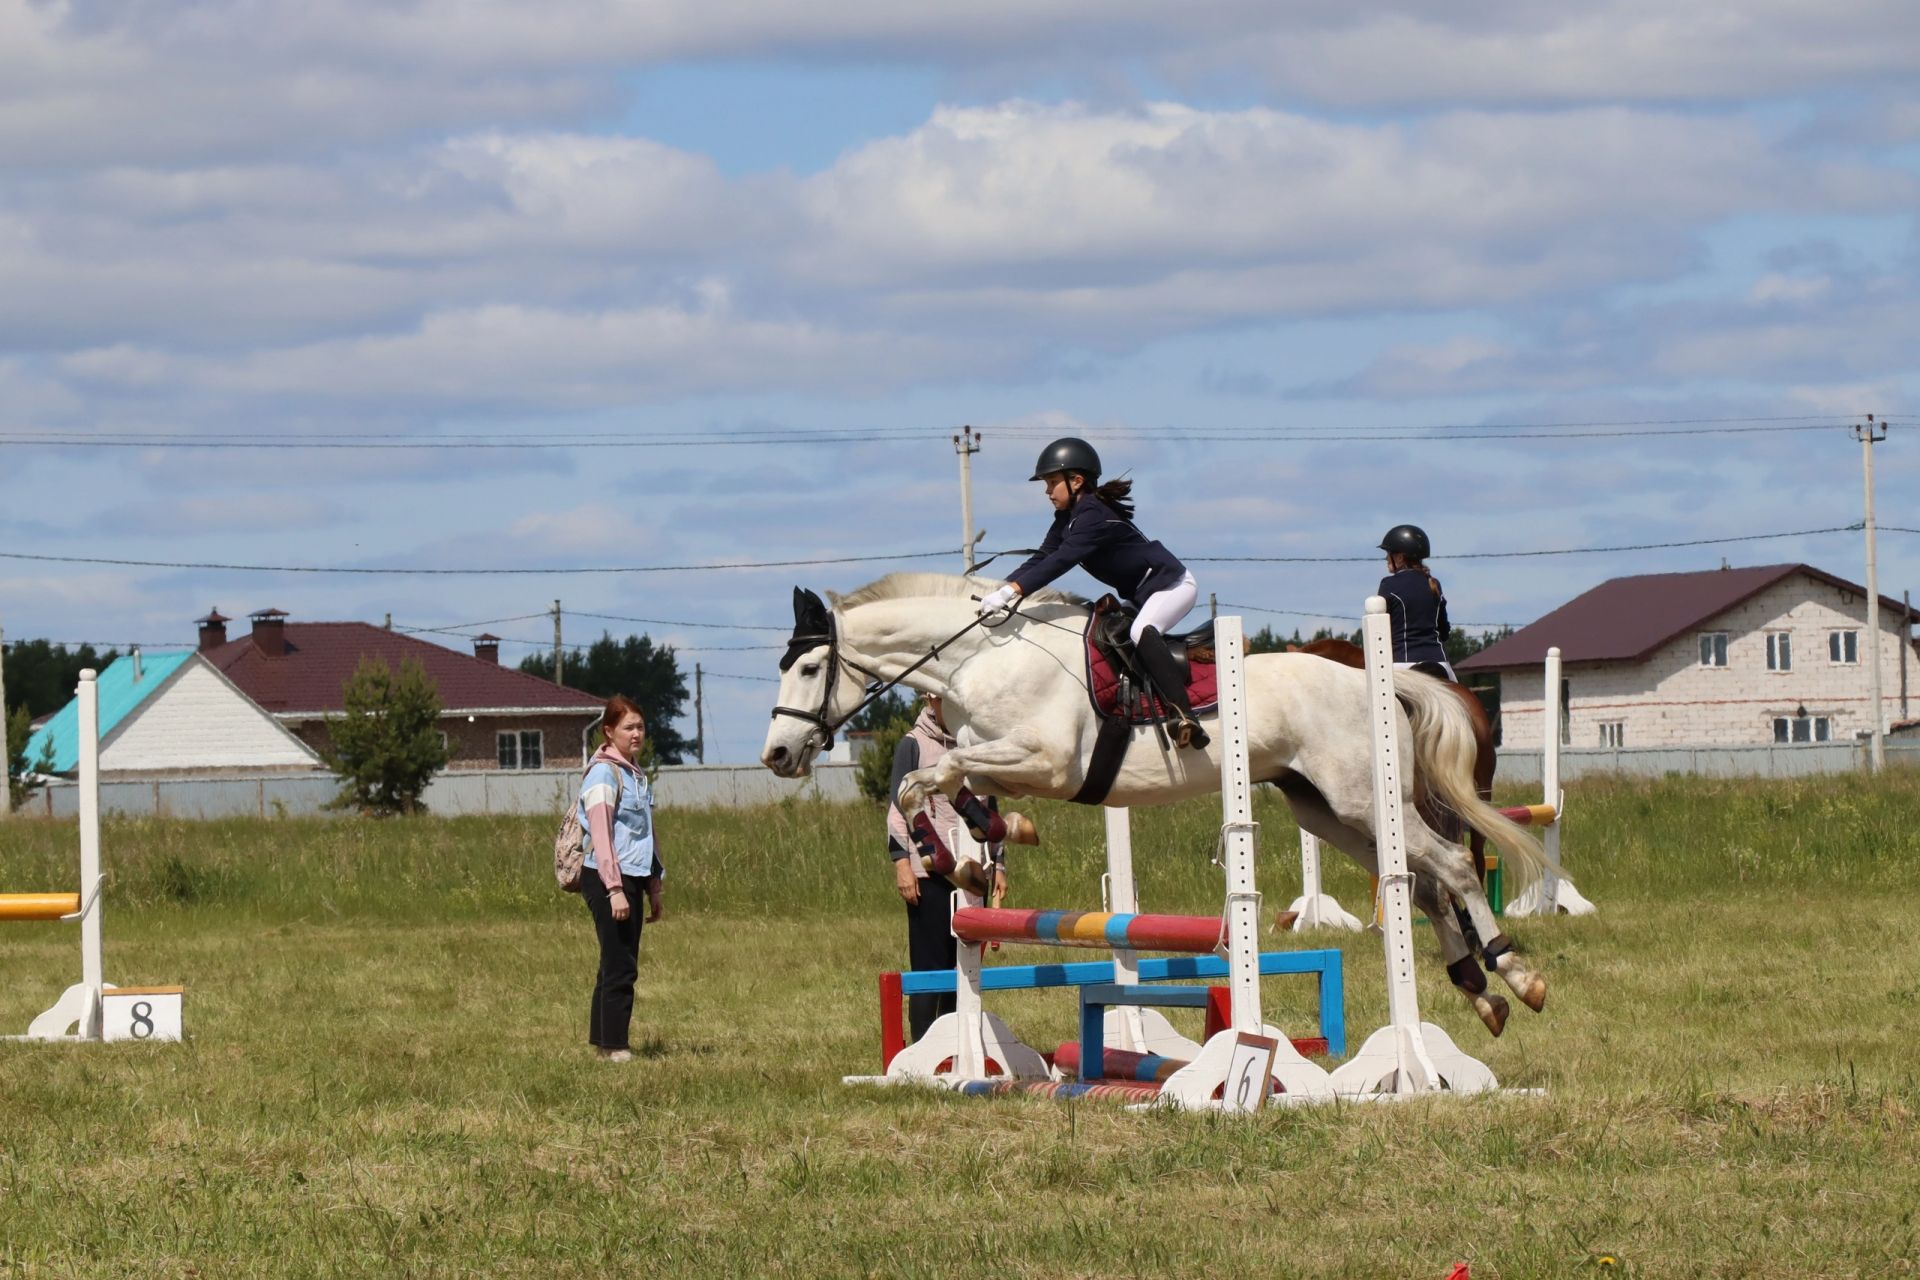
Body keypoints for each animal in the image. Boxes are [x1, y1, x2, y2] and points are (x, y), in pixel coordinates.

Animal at [756, 575, 1551, 1036]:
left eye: (808, 666)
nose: (777, 756)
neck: (981, 655)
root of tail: (1375, 677)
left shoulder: (1045, 760)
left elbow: (929, 779)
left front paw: (960, 856)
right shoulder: (997, 756)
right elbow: (947, 787)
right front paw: (974, 859)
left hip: (1359, 795)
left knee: (1451, 865)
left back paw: (1516, 974)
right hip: (1328, 812)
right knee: (1421, 881)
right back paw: (1479, 992)